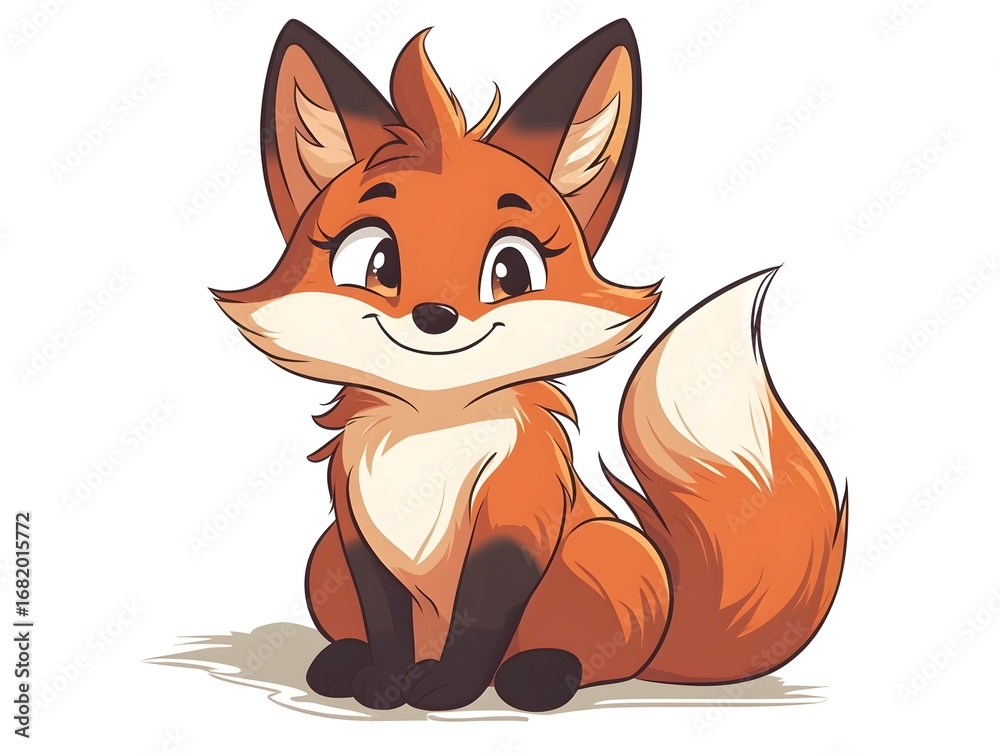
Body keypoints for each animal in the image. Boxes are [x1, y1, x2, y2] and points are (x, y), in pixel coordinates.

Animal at [212, 18, 848, 713]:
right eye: (377, 262)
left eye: (511, 269)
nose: (434, 315)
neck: (432, 431)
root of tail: (668, 642)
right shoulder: (355, 529)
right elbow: (385, 622)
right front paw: (386, 684)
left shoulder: (518, 513)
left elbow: (481, 617)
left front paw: (448, 689)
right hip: (322, 559)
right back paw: (345, 663)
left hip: (601, 552)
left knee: (586, 659)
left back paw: (537, 675)